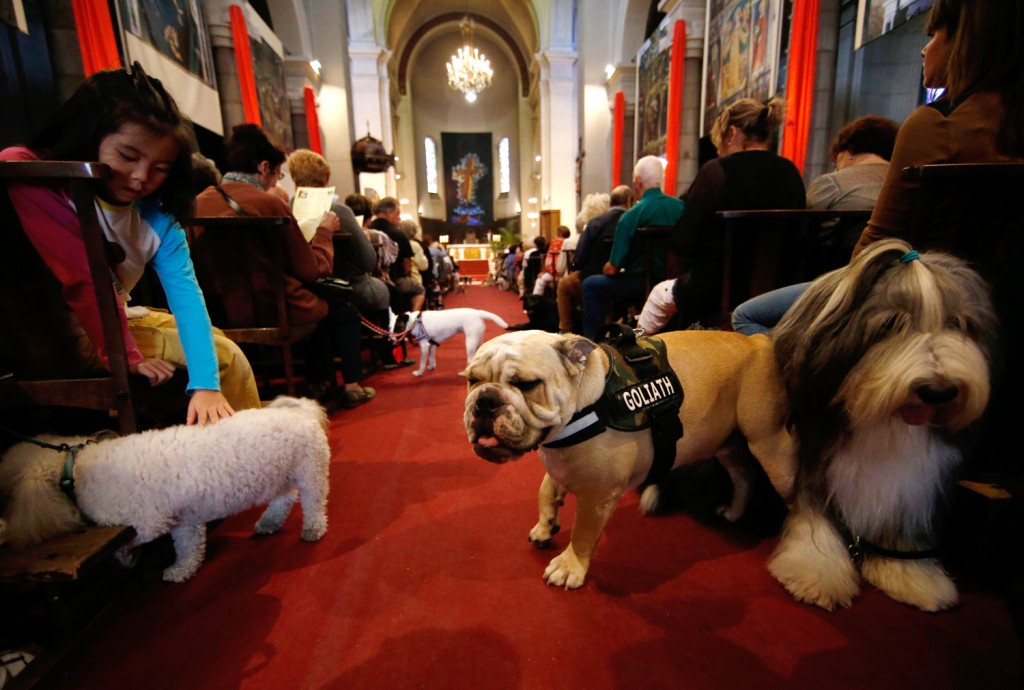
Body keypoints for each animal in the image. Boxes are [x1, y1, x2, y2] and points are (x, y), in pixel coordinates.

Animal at [0, 393, 329, 581]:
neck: (75, 466)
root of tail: (300, 411)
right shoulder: (185, 521)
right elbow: (187, 548)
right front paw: (182, 570)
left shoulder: (149, 522)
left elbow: (130, 541)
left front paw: (126, 557)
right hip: (277, 476)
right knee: (284, 499)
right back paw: (270, 521)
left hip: (310, 471)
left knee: (313, 502)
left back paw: (312, 527)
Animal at [770, 239, 999, 610]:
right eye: (891, 323)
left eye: (957, 322)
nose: (939, 391)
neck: (885, 421)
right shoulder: (812, 460)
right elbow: (813, 515)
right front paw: (816, 572)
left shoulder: (911, 482)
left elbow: (902, 527)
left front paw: (914, 577)